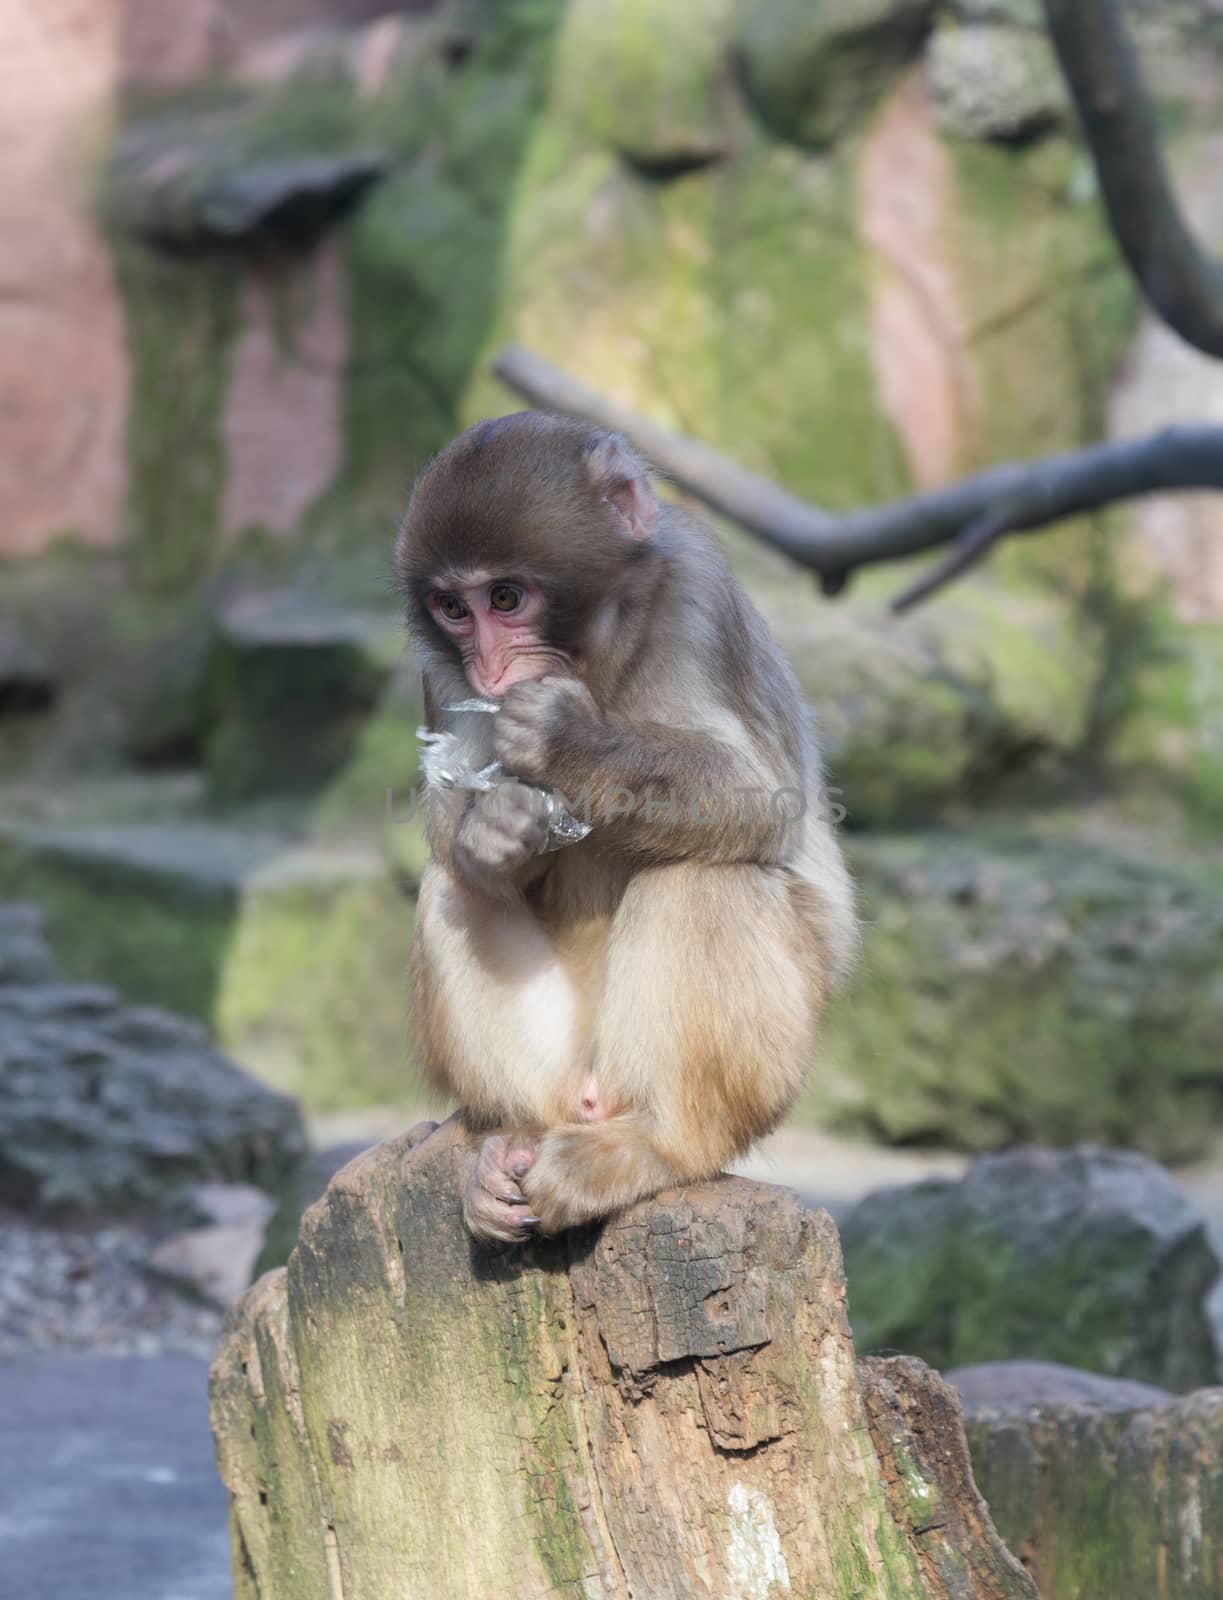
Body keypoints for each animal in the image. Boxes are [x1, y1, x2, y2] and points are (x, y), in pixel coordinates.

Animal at [396, 409, 858, 1235]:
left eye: (505, 598)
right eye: (453, 609)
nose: (490, 668)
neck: (596, 660)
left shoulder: (695, 595)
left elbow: (762, 800)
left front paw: (566, 743)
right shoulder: (439, 672)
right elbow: (454, 831)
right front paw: (498, 830)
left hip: (771, 1065)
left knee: (705, 874)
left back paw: (661, 1148)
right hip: (563, 1063)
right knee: (451, 886)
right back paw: (506, 1144)